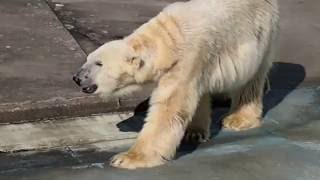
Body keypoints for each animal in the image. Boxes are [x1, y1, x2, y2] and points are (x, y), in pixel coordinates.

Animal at [72, 0, 278, 169]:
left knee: (252, 79)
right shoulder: (198, 63)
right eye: (88, 59)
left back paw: (238, 118)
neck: (169, 39)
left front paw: (128, 158)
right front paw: (194, 133)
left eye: (99, 63)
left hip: (261, 31)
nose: (77, 77)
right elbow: (197, 96)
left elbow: (170, 107)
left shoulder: (187, 59)